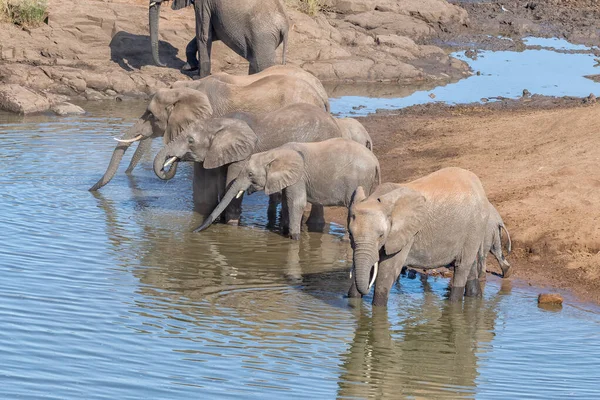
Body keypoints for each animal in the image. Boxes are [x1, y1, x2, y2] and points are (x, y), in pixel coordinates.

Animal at [150, 0, 290, 77]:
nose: (164, 64)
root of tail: (285, 25)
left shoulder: (203, 4)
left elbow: (203, 35)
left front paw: (198, 78)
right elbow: (212, 34)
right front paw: (189, 67)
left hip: (262, 36)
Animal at [192, 138, 380, 238]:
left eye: (251, 174)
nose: (193, 231)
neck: (273, 153)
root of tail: (376, 161)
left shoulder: (299, 177)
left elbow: (296, 202)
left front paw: (294, 238)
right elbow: (286, 201)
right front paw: (284, 231)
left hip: (360, 180)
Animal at [344, 166, 490, 306]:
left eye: (381, 235)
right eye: (350, 234)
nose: (367, 289)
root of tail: (479, 185)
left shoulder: (406, 234)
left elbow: (388, 271)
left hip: (476, 226)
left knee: (462, 266)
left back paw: (454, 303)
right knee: (469, 265)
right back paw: (475, 297)